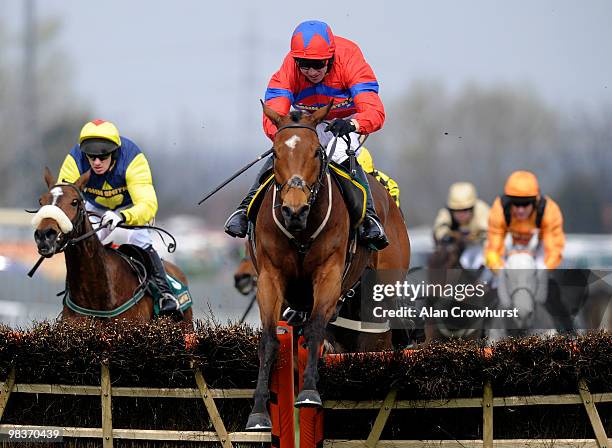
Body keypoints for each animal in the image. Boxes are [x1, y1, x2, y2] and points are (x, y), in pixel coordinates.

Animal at [245, 103, 412, 428]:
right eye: (276, 153)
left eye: (315, 153)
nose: (294, 210)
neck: (301, 231)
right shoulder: (270, 278)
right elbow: (270, 340)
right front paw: (258, 411)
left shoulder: (329, 275)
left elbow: (315, 329)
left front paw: (309, 392)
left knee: (374, 346)